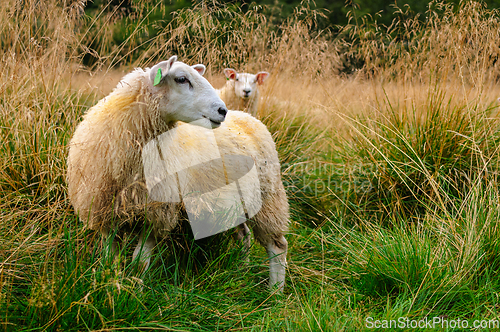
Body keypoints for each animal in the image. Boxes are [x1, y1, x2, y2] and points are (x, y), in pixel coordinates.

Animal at [66, 55, 290, 292]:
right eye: (182, 79)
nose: (222, 111)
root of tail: (249, 118)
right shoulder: (104, 213)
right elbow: (110, 260)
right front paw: (110, 287)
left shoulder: (157, 214)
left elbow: (139, 264)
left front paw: (134, 292)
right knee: (244, 236)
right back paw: (241, 272)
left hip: (268, 199)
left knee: (277, 246)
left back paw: (275, 292)